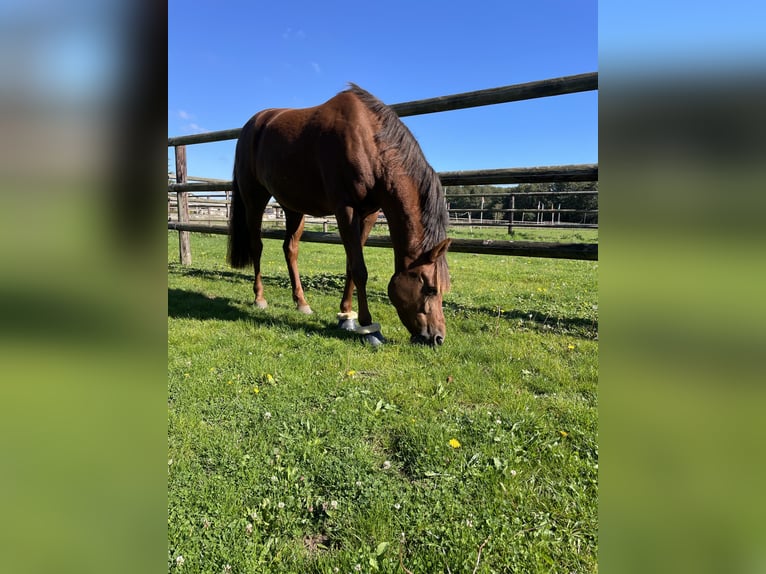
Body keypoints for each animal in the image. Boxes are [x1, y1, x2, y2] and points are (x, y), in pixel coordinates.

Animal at [226, 84, 450, 346]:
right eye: (430, 289)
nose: (437, 337)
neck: (369, 143)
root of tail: (252, 124)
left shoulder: (369, 213)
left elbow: (351, 265)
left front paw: (346, 315)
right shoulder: (345, 209)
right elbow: (360, 269)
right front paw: (368, 326)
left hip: (294, 207)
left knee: (290, 249)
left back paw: (301, 302)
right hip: (255, 199)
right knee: (257, 246)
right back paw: (260, 298)